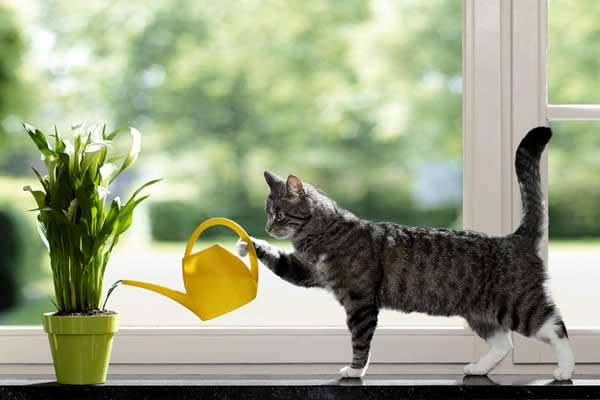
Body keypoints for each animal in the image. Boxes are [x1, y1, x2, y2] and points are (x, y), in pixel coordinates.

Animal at [237, 126, 576, 380]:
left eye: (280, 215)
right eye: (268, 213)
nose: (267, 227)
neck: (325, 232)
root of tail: (514, 238)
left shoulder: (360, 302)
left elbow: (360, 340)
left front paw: (355, 371)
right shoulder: (305, 270)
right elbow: (279, 260)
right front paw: (246, 243)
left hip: (519, 304)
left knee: (556, 327)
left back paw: (565, 369)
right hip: (480, 313)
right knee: (503, 344)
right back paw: (478, 368)